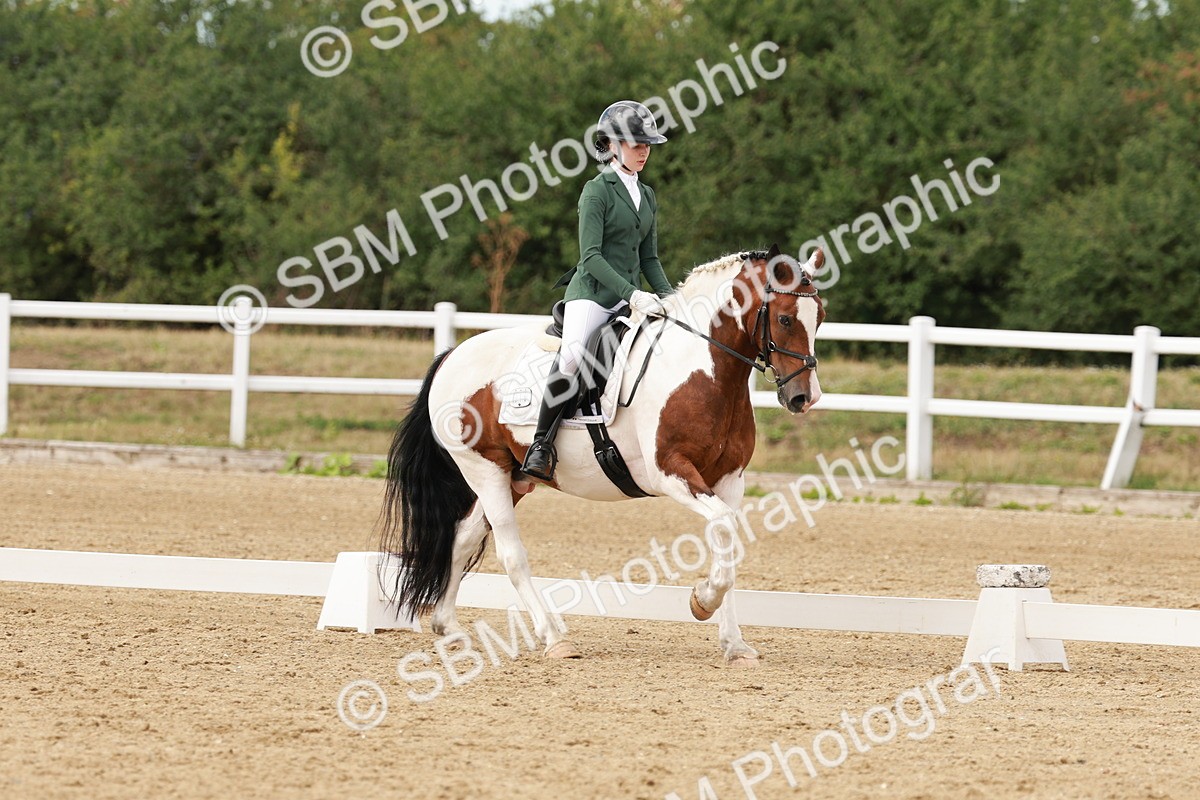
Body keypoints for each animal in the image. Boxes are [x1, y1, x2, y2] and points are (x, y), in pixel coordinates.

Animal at [376, 244, 826, 667]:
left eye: (819, 317)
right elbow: (724, 529)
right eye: (785, 319)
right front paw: (702, 601)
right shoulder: (671, 472)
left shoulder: (730, 480)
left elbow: (728, 540)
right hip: (482, 468)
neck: (704, 369)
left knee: (463, 537)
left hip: (513, 476)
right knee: (510, 554)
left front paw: (734, 644)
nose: (804, 398)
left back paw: (448, 627)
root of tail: (452, 355)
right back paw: (554, 638)